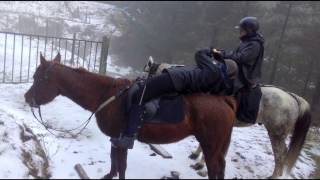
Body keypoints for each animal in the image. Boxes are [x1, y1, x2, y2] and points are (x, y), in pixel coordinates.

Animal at [24, 53, 235, 179]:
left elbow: (122, 165)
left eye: (37, 78)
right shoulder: (115, 139)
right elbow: (114, 163)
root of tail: (224, 100)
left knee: (214, 168)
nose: (27, 97)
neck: (106, 94)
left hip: (210, 145)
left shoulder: (122, 139)